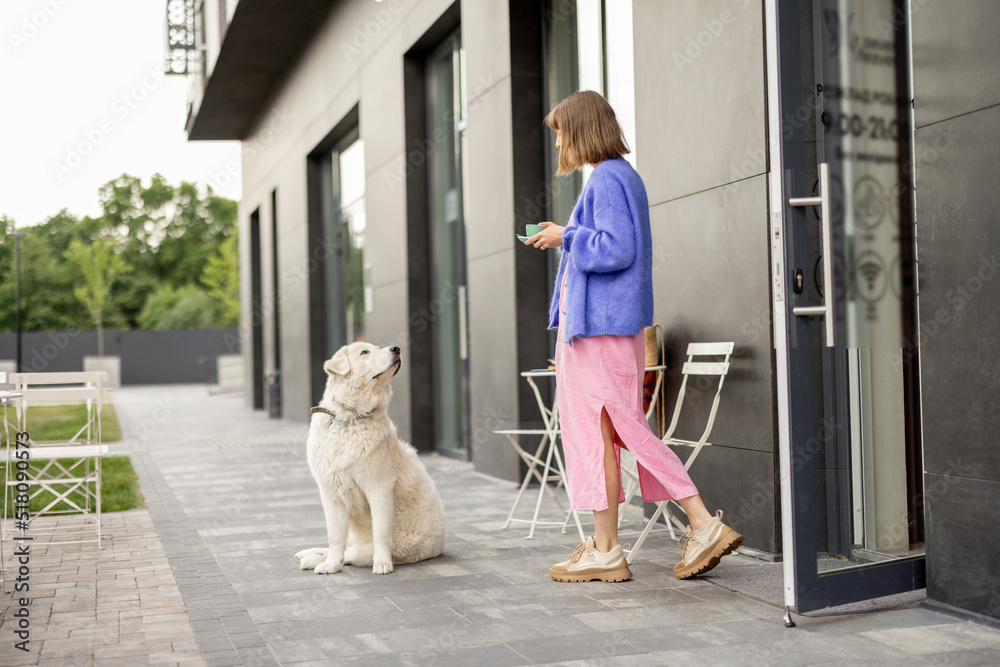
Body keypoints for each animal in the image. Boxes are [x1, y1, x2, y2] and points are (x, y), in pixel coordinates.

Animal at [294, 344, 448, 576]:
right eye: (365, 352)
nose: (397, 348)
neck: (349, 419)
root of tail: (440, 545)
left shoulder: (379, 487)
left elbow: (381, 532)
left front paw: (382, 564)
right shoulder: (330, 492)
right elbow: (335, 536)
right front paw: (331, 565)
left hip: (397, 545)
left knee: (355, 552)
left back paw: (312, 559)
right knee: (345, 546)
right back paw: (312, 555)